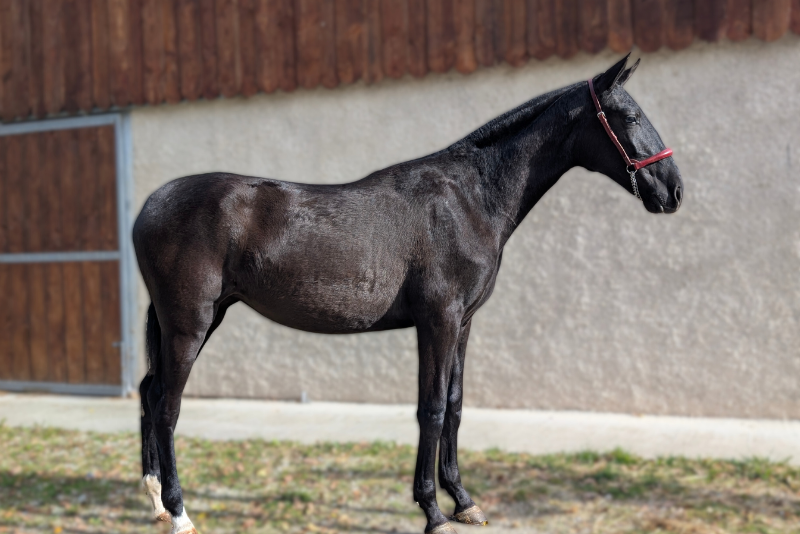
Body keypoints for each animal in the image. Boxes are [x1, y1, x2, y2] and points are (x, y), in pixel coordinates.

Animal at [133, 55, 683, 534]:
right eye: (629, 115)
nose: (673, 190)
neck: (470, 198)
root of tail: (149, 208)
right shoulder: (438, 319)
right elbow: (432, 408)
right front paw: (433, 511)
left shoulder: (463, 322)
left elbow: (456, 404)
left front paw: (464, 501)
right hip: (190, 324)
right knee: (167, 405)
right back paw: (179, 513)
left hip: (197, 320)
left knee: (149, 390)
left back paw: (156, 501)